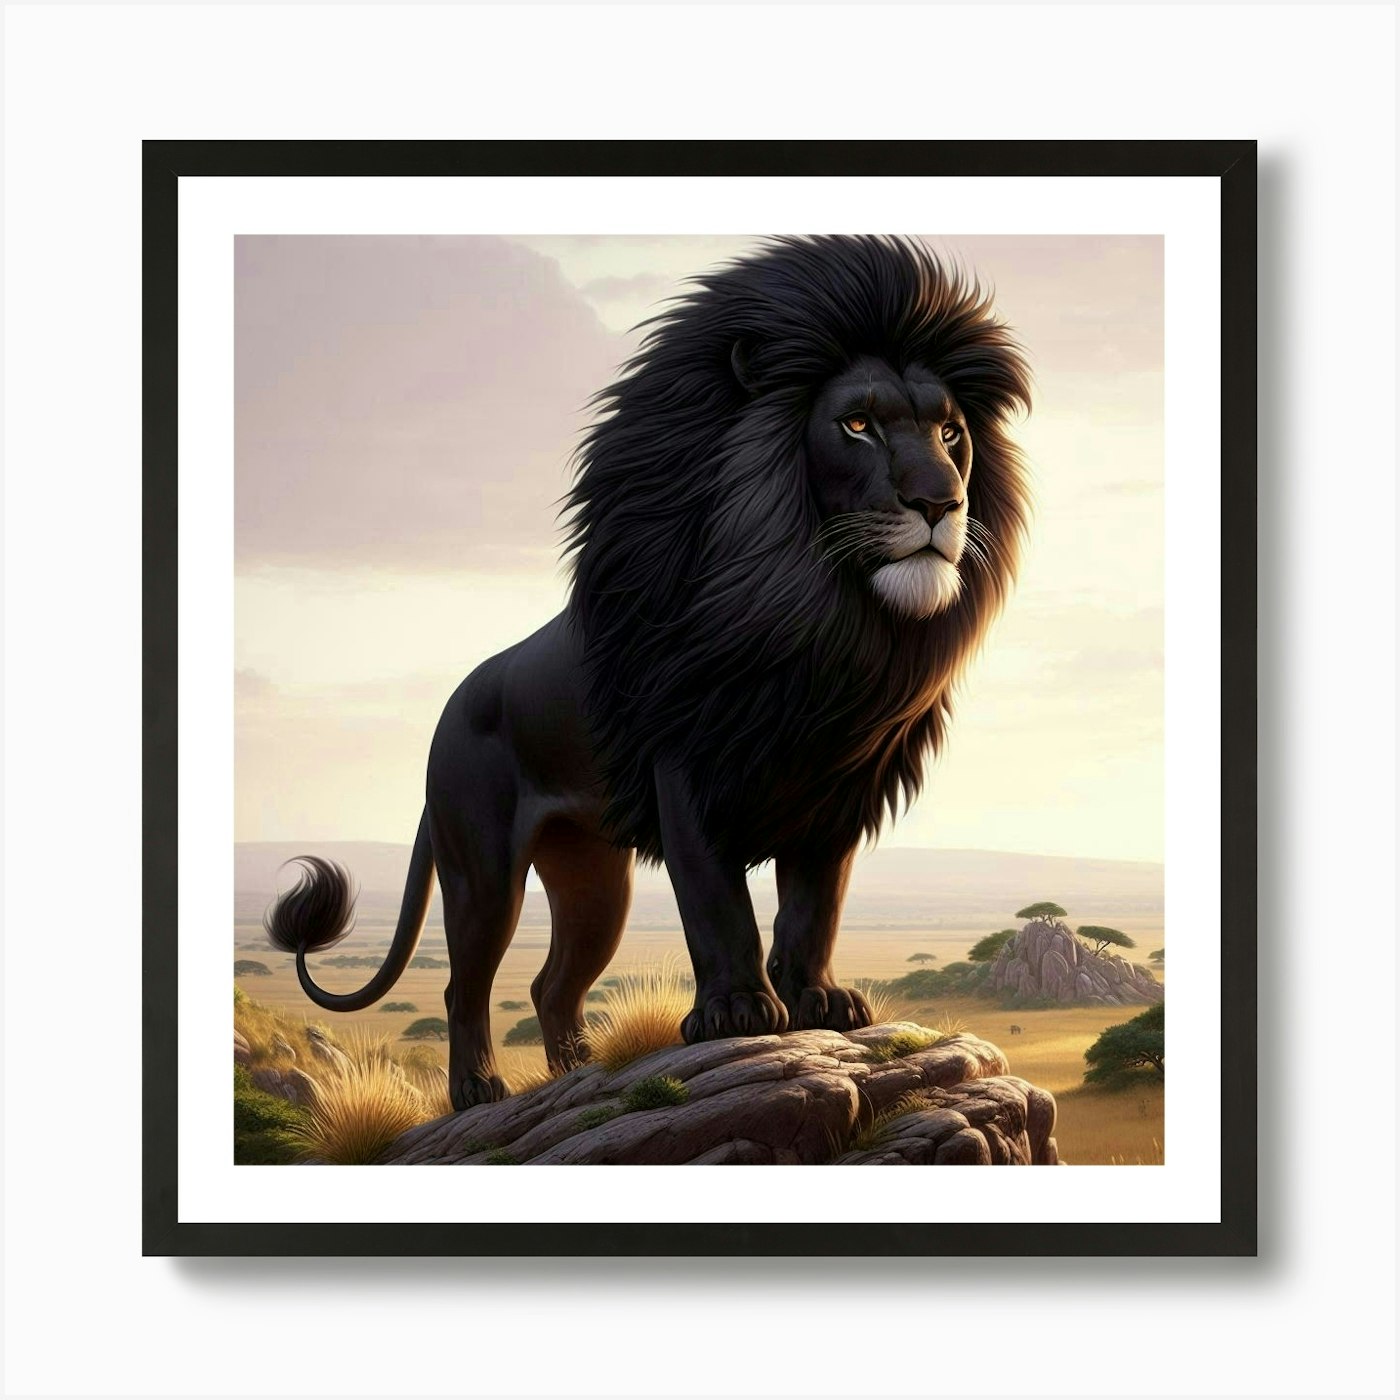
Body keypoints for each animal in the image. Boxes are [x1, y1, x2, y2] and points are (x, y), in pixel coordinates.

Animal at [265, 235, 1032, 1110]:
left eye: (950, 432)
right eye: (858, 423)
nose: (942, 502)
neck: (819, 620)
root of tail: (452, 710)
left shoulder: (834, 787)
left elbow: (815, 907)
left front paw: (819, 1001)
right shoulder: (687, 770)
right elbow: (716, 901)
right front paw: (738, 1013)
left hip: (595, 876)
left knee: (553, 984)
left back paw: (579, 1072)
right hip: (480, 864)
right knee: (469, 982)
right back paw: (481, 1090)